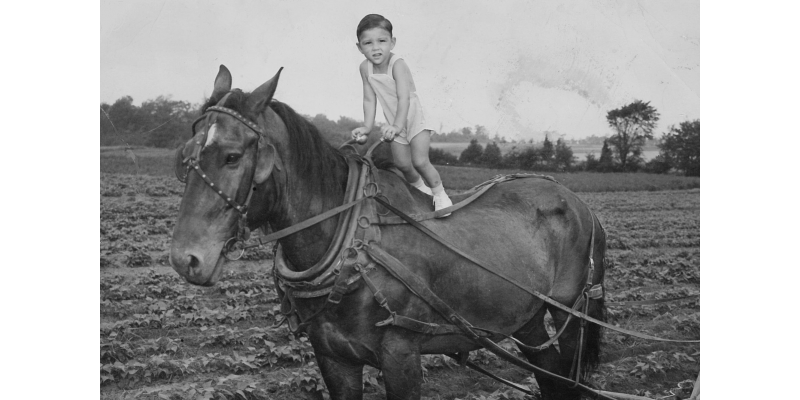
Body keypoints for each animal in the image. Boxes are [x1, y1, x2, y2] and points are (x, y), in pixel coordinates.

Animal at [170, 66, 608, 400]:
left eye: (232, 157)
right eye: (185, 156)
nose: (185, 259)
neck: (353, 245)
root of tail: (579, 202)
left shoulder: (400, 354)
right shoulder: (332, 358)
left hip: (569, 310)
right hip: (525, 318)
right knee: (549, 375)